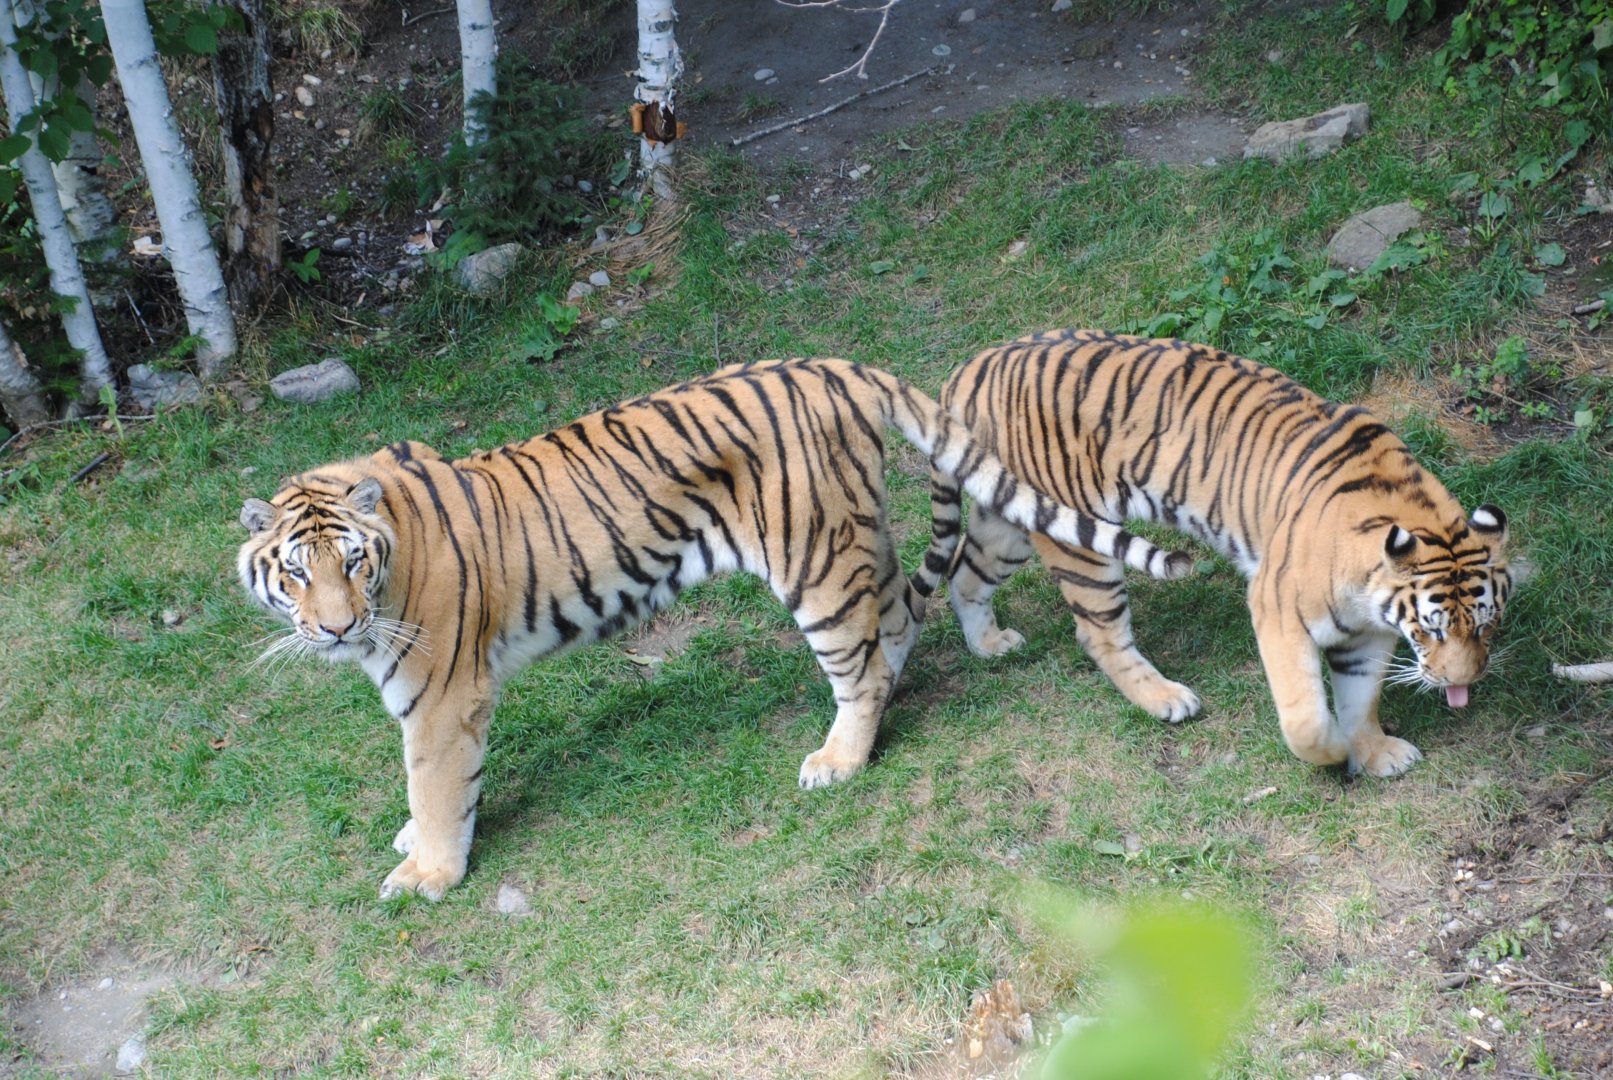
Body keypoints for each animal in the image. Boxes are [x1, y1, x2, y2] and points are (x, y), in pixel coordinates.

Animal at [238, 357, 1190, 901]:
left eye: (352, 562)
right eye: (297, 572)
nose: (333, 629)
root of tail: (830, 365)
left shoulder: (439, 695)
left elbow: (435, 786)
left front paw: (428, 874)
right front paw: (415, 845)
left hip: (810, 558)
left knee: (859, 664)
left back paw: (838, 760)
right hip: (855, 533)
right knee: (895, 612)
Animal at [937, 329, 1513, 777]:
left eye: (1485, 625)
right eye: (1433, 630)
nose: (1462, 684)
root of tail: (970, 366)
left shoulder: (1368, 632)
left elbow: (1360, 697)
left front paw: (1373, 752)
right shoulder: (1277, 609)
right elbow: (1305, 716)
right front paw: (1332, 753)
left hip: (1010, 518)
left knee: (965, 574)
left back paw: (989, 644)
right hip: (1078, 540)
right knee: (1097, 631)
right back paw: (1167, 699)